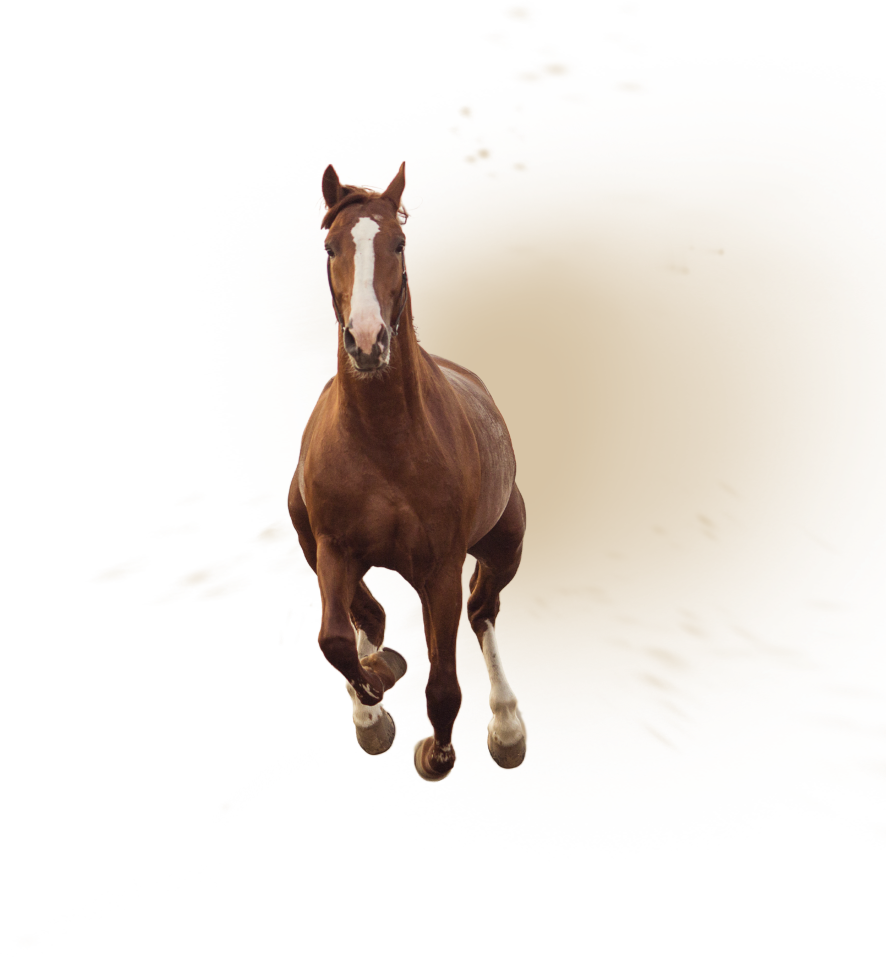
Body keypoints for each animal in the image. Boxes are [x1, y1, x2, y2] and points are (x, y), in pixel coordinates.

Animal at [287, 161, 528, 782]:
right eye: (331, 246)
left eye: (397, 243)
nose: (368, 341)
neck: (382, 441)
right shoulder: (334, 547)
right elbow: (337, 641)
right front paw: (377, 693)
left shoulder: (440, 567)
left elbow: (443, 685)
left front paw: (436, 751)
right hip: (313, 540)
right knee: (366, 617)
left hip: (503, 547)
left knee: (483, 613)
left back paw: (507, 728)